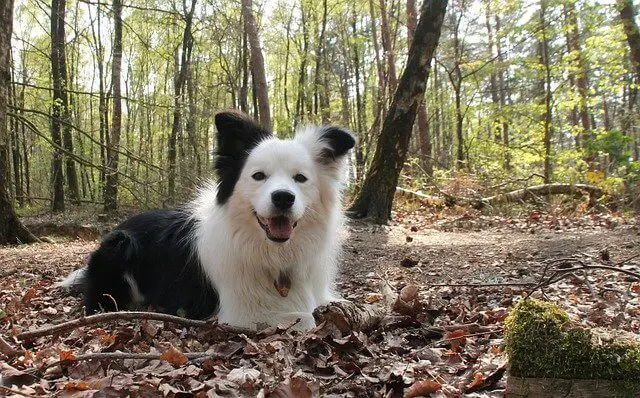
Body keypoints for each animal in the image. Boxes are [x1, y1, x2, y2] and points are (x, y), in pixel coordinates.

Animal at [62, 109, 356, 330]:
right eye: (258, 176)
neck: (272, 253)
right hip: (120, 245)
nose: (283, 198)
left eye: (301, 178)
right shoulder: (241, 313)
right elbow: (305, 318)